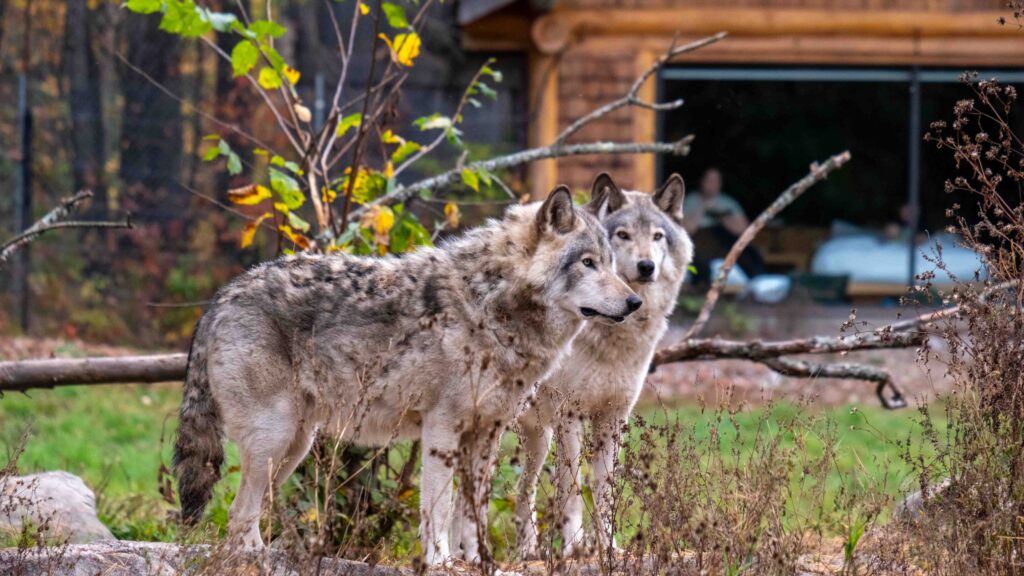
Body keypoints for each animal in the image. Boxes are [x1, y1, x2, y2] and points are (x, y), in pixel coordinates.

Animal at [175, 186, 638, 561]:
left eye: (610, 263)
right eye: (587, 263)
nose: (634, 301)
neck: (491, 304)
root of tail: (222, 295)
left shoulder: (485, 434)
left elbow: (472, 511)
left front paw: (476, 561)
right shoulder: (442, 429)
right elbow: (440, 507)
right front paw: (441, 561)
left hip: (295, 447)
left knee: (243, 514)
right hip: (274, 440)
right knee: (238, 514)